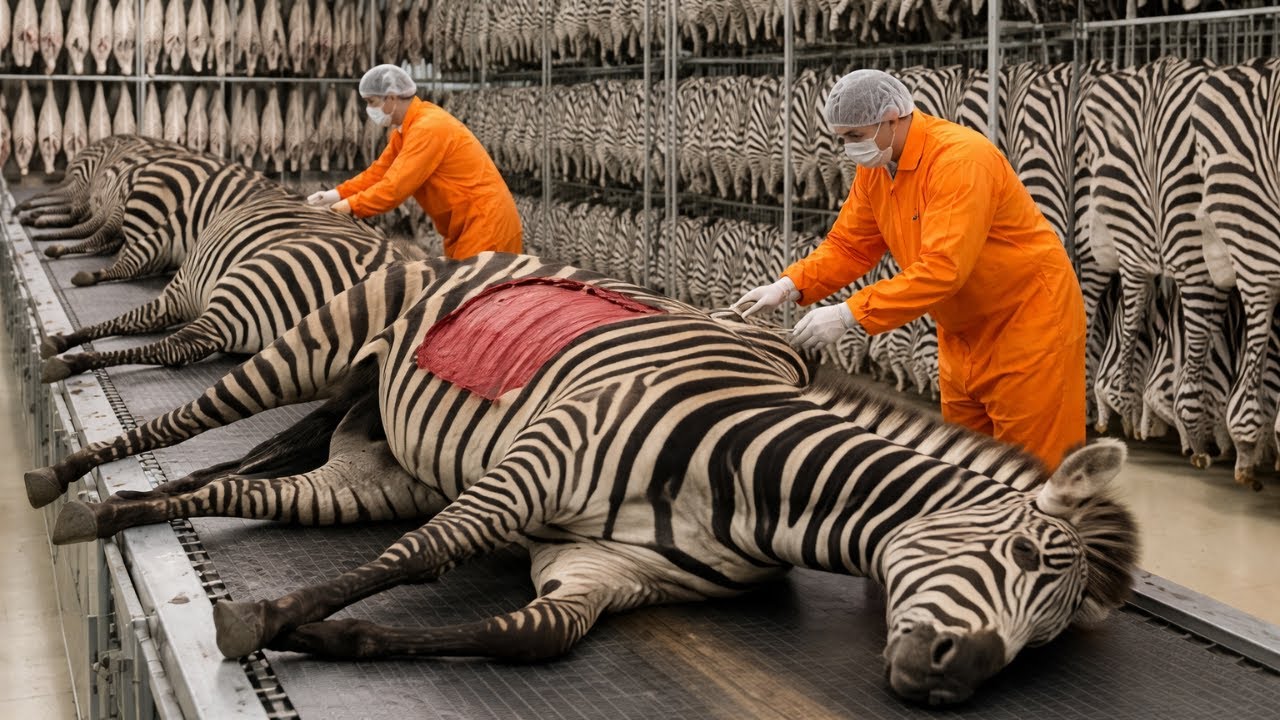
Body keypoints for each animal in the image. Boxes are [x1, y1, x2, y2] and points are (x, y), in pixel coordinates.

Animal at [37, 196, 419, 385]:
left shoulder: (179, 289)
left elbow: (123, 319)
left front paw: (67, 341)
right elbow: (123, 322)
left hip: (248, 290)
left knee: (174, 345)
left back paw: (70, 364)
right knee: (179, 348)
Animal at [42, 253, 1137, 706]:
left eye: (1047, 638)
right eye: (1026, 553)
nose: (957, 677)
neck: (755, 485)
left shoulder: (605, 576)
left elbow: (530, 638)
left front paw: (326, 638)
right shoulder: (532, 468)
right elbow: (427, 555)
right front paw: (256, 623)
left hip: (379, 462)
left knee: (252, 485)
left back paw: (124, 509)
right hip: (317, 347)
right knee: (192, 410)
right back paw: (64, 473)